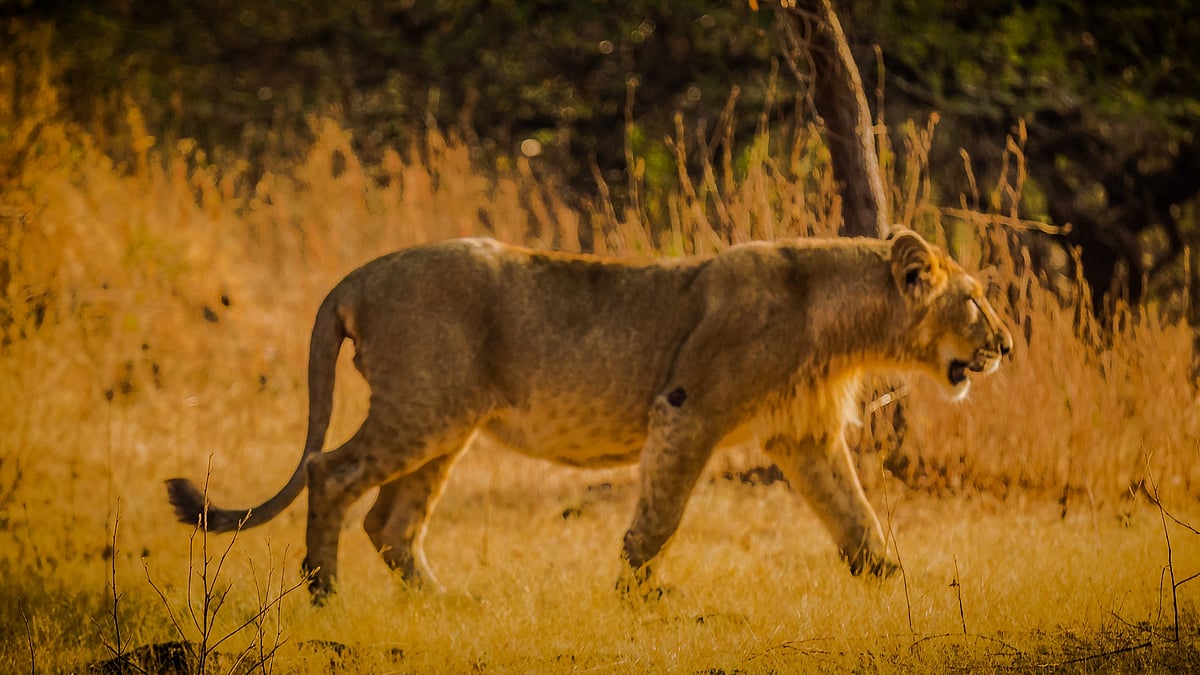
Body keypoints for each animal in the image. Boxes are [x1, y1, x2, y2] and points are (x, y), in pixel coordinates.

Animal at [166, 229, 1012, 600]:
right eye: (974, 301)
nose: (1006, 343)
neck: (842, 323)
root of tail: (356, 275)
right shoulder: (687, 407)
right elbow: (662, 514)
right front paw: (633, 590)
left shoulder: (802, 436)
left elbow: (856, 517)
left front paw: (893, 583)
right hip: (424, 406)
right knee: (330, 469)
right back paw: (324, 593)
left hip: (446, 421)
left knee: (391, 520)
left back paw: (444, 601)